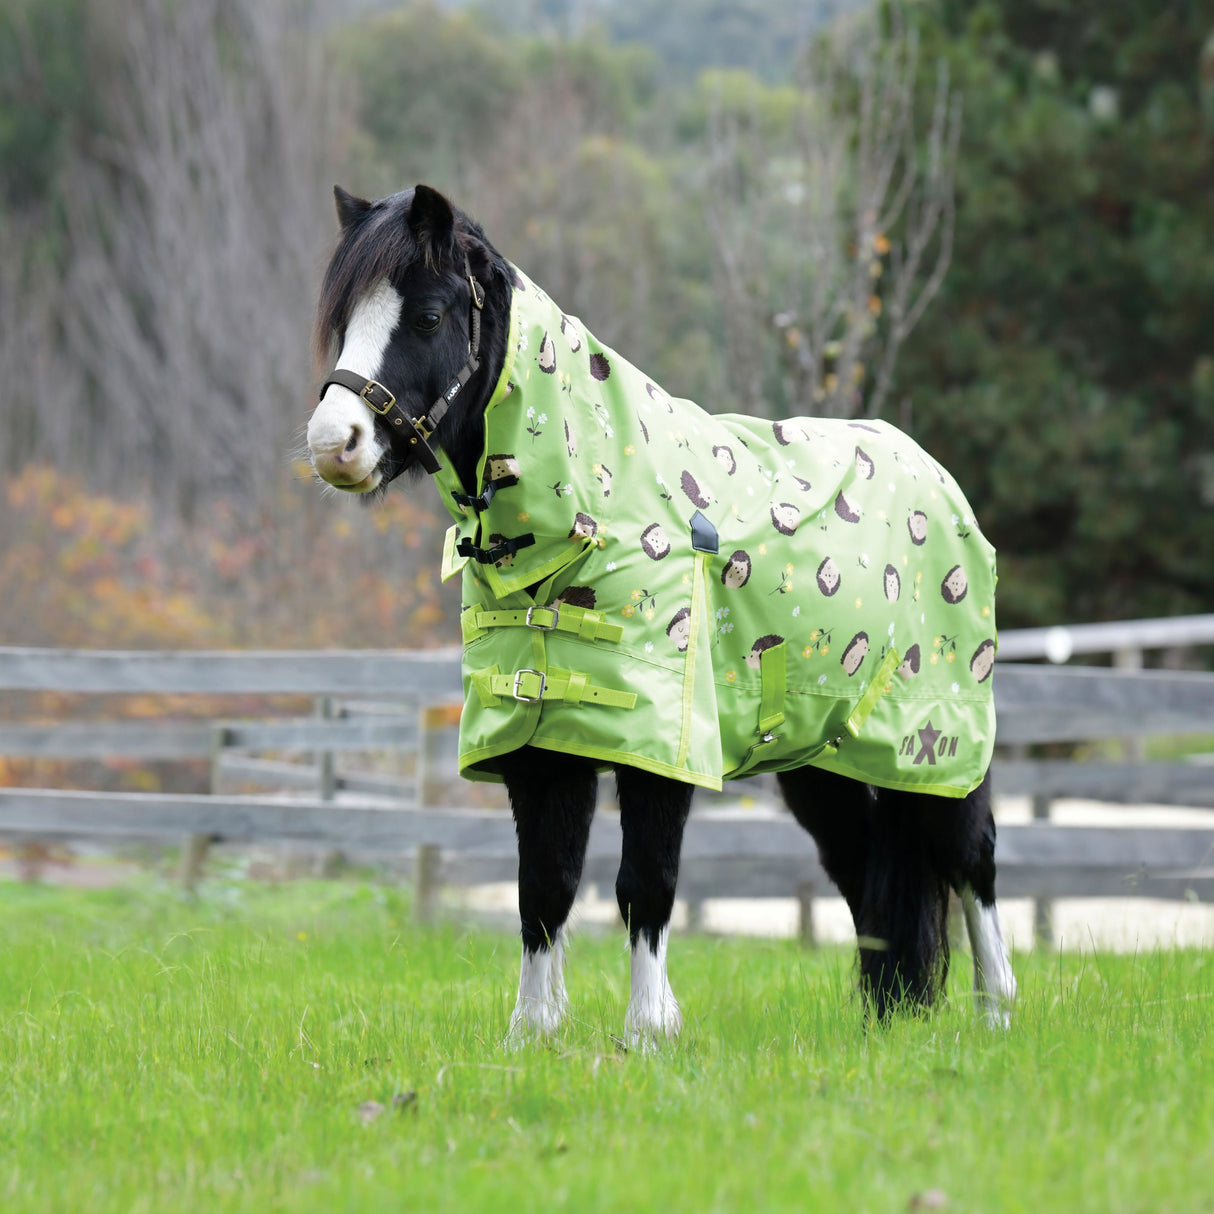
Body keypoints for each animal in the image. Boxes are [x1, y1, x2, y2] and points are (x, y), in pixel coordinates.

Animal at [305, 184, 1016, 1046]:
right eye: (345, 319)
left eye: (430, 316)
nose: (333, 443)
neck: (591, 504)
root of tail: (935, 476)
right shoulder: (542, 744)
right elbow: (544, 885)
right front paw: (532, 1033)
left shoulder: (662, 747)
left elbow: (645, 881)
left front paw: (648, 1029)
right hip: (825, 760)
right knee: (864, 865)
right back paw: (886, 1015)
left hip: (938, 742)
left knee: (971, 857)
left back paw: (995, 1011)